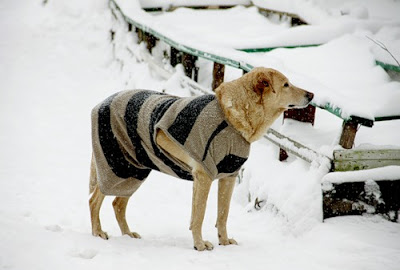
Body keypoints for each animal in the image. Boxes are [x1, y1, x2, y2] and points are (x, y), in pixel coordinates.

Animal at [89, 67, 314, 251]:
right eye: (286, 84)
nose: (311, 94)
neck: (233, 116)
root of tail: (102, 102)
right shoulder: (204, 175)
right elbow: (200, 214)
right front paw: (199, 244)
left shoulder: (229, 176)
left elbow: (222, 213)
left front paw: (224, 242)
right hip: (116, 165)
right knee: (94, 200)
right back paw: (98, 233)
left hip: (135, 170)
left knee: (118, 203)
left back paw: (127, 235)